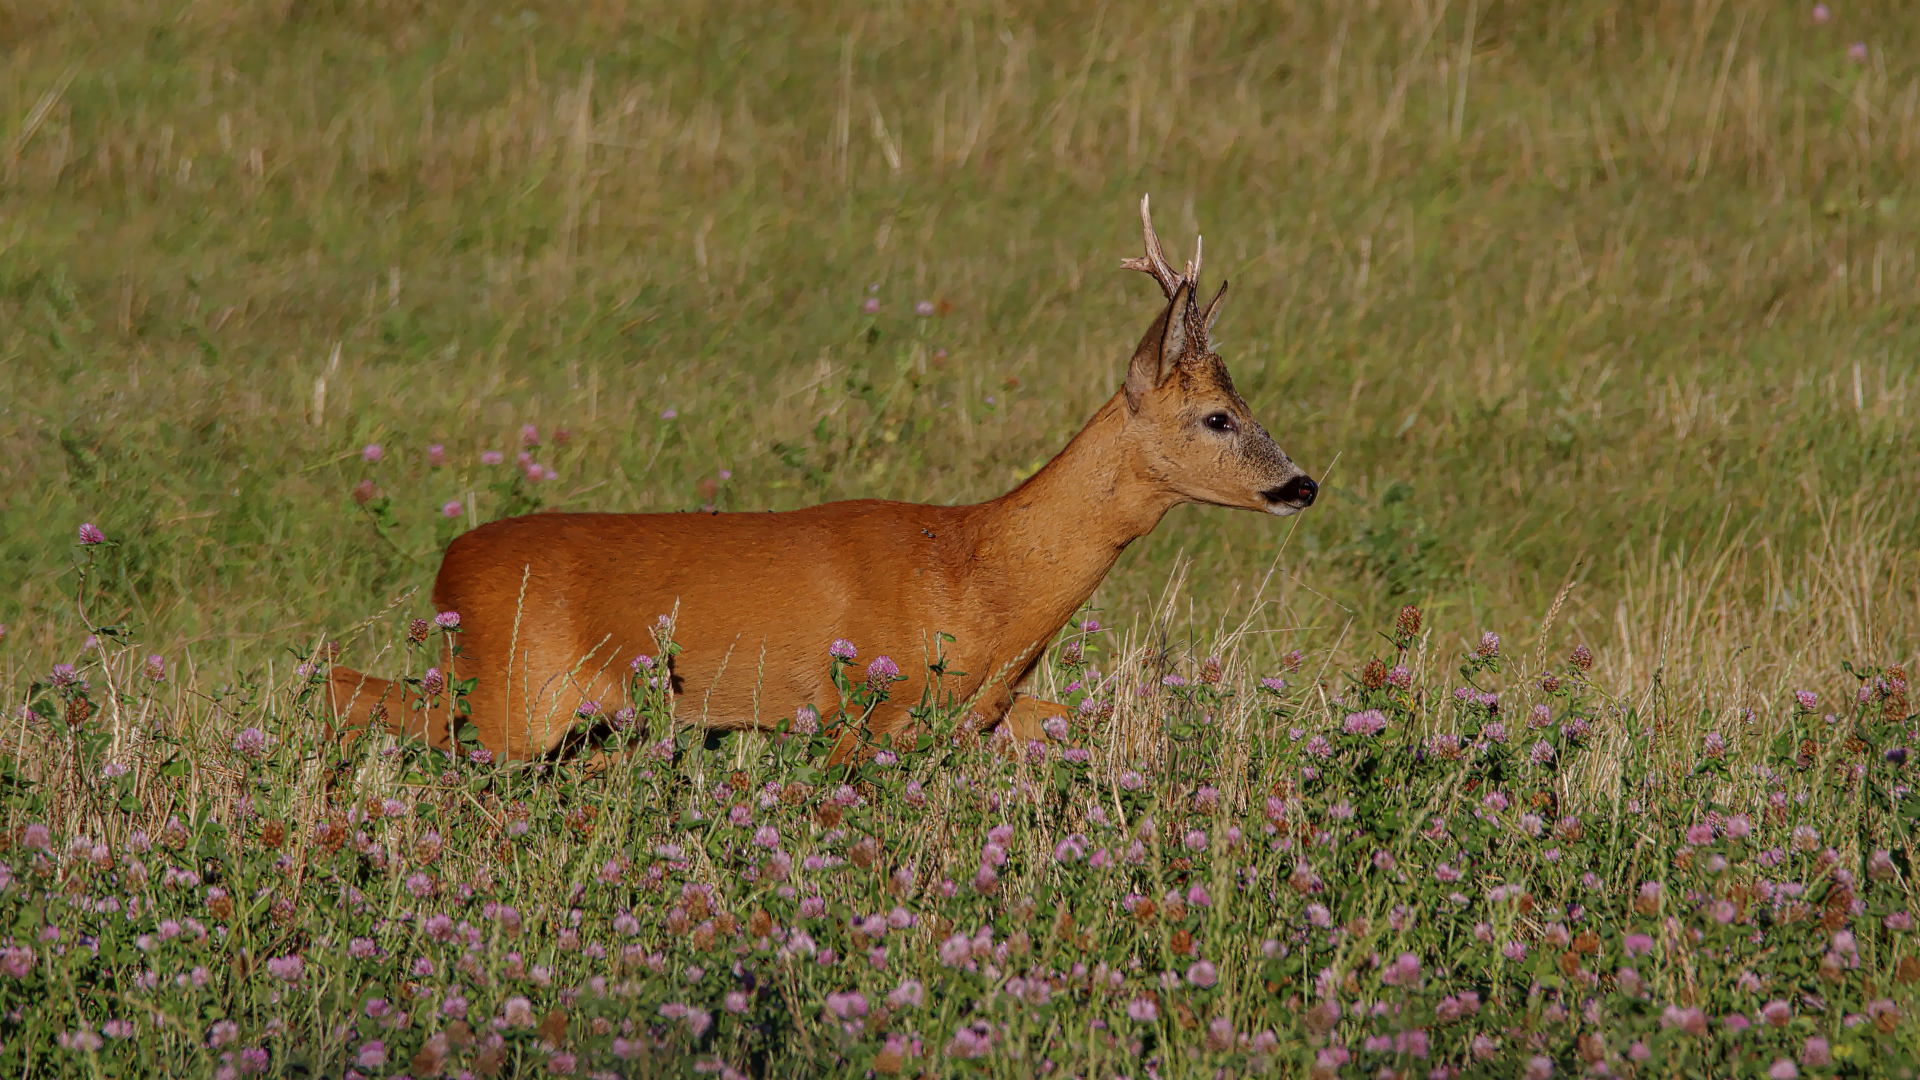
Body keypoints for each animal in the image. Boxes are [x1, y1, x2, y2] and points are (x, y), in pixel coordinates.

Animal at [334, 197, 1320, 760]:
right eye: (1218, 417)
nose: (1302, 484)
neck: (979, 574)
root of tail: (446, 568)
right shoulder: (866, 713)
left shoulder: (984, 715)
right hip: (514, 694)